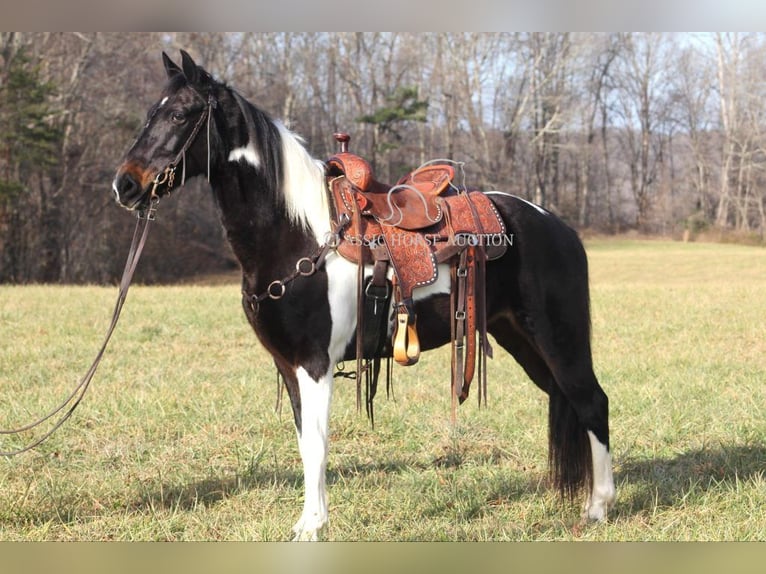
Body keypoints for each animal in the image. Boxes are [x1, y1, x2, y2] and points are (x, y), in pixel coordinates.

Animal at [112, 51, 616, 544]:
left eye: (179, 114)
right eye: (152, 112)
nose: (125, 185)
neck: (299, 235)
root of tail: (557, 225)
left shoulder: (315, 365)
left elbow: (317, 445)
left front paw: (313, 527)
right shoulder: (290, 367)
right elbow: (305, 443)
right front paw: (309, 523)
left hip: (558, 339)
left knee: (592, 401)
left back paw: (599, 508)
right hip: (521, 339)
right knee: (568, 400)